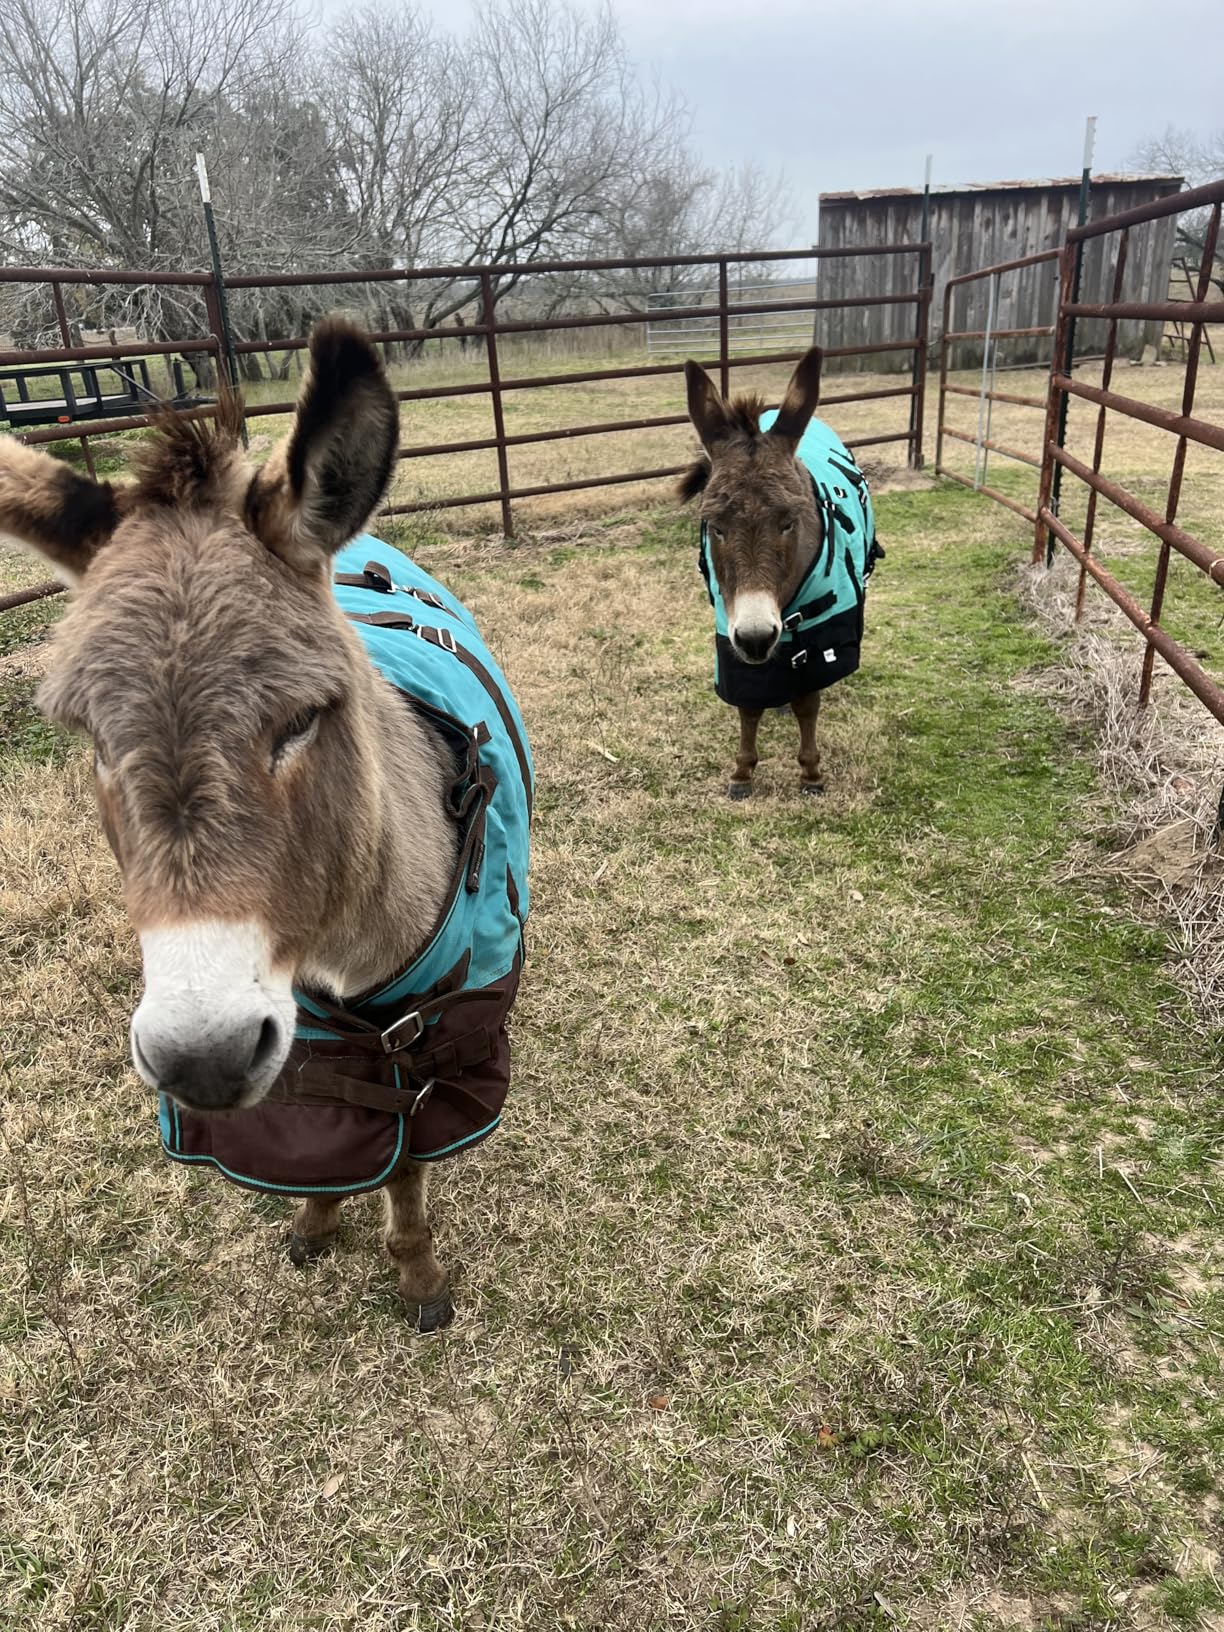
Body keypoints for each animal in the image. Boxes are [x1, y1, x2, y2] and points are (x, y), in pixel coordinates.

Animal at [0, 319, 532, 1331]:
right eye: (90, 738)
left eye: (300, 721)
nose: (201, 1059)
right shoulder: (309, 1049)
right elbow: (321, 1146)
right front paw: (316, 1223)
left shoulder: (426, 1041)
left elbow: (406, 1169)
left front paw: (417, 1277)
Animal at [679, 348, 881, 798]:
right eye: (715, 526)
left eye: (790, 522)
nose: (757, 638)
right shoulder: (729, 631)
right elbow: (748, 704)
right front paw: (742, 773)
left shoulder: (821, 632)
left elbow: (808, 703)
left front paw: (810, 773)